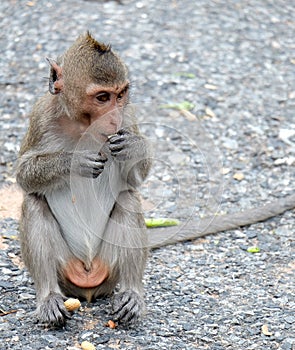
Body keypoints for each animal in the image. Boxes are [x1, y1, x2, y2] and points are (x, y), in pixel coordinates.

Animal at [16, 31, 295, 326]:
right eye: (102, 97)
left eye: (120, 95)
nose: (114, 117)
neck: (83, 125)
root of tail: (88, 279)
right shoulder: (41, 116)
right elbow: (24, 175)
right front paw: (75, 161)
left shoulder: (129, 116)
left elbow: (134, 179)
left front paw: (135, 147)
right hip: (66, 270)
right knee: (33, 203)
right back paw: (48, 297)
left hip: (109, 265)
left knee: (128, 200)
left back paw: (131, 293)